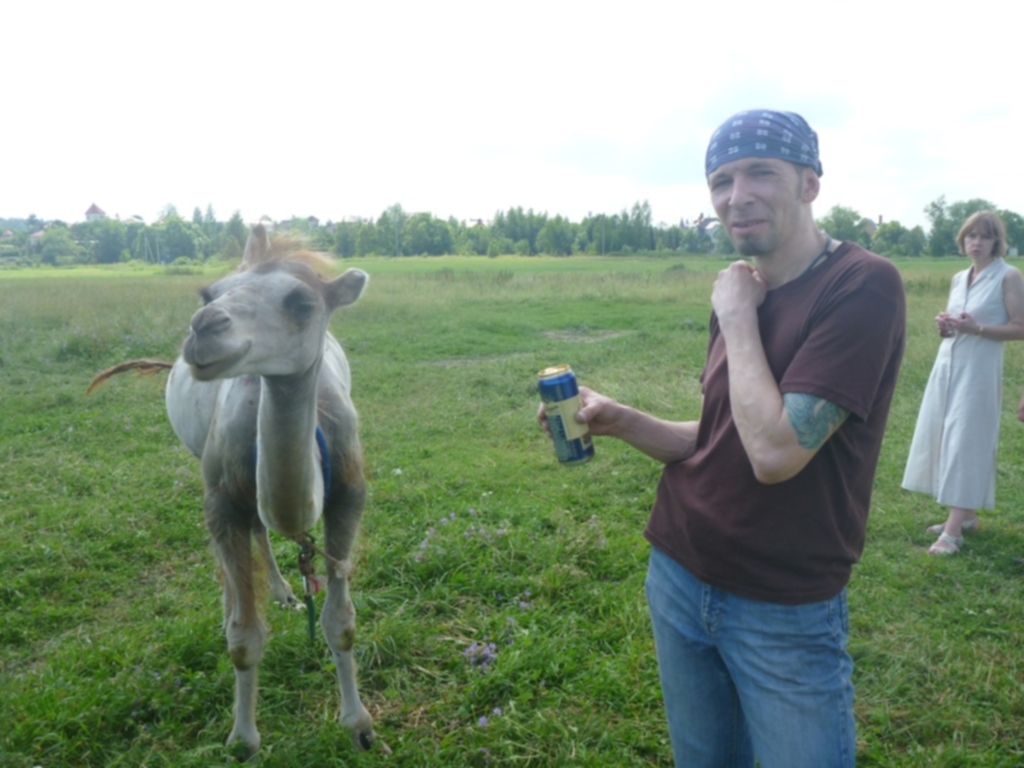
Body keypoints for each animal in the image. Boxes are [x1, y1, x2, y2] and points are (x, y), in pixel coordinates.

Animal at [88, 225, 376, 761]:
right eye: (209, 293)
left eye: (302, 302)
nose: (204, 327)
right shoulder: (220, 499)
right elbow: (243, 639)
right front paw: (242, 741)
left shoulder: (349, 495)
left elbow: (340, 623)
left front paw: (359, 727)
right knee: (244, 546)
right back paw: (255, 597)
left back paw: (284, 593)